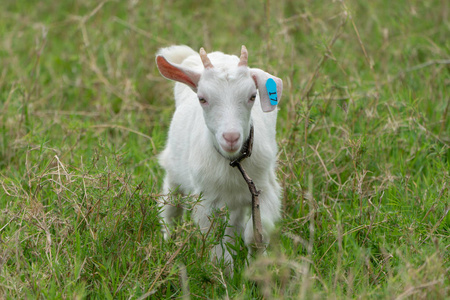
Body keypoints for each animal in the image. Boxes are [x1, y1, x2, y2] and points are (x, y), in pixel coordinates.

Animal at [155, 44, 282, 270]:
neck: (233, 162)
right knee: (170, 207)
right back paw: (169, 241)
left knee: (235, 222)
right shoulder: (205, 199)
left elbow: (256, 235)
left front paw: (258, 266)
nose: (231, 137)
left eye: (252, 96)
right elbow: (214, 244)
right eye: (202, 98)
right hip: (173, 170)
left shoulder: (264, 190)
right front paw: (225, 272)